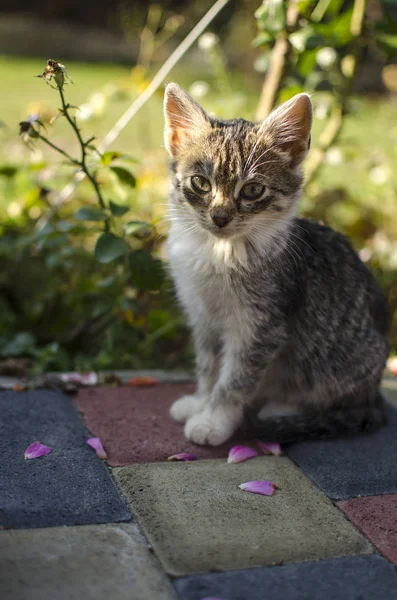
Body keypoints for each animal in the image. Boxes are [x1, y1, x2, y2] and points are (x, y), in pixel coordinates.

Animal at [162, 82, 388, 442]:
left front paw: (214, 419)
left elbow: (234, 379)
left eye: (253, 190)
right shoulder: (202, 317)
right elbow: (208, 366)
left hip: (345, 361)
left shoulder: (260, 327)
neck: (218, 252)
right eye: (200, 183)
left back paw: (282, 407)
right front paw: (200, 401)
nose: (220, 217)